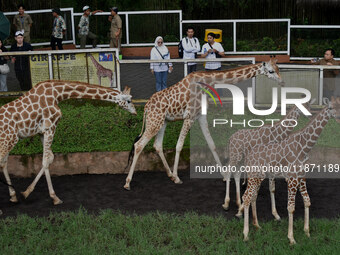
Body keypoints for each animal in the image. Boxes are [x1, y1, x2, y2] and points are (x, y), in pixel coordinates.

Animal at [1, 81, 137, 205]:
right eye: (129, 101)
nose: (135, 112)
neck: (57, 94)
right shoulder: (50, 128)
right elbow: (45, 161)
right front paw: (55, 197)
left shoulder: (42, 132)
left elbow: (49, 158)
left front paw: (26, 192)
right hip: (9, 139)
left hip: (8, 140)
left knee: (3, 163)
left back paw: (13, 196)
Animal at [123, 57, 282, 189]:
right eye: (271, 70)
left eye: (278, 68)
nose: (282, 81)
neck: (208, 82)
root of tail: (146, 107)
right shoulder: (189, 116)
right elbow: (179, 146)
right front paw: (178, 177)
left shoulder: (201, 115)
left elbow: (212, 144)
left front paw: (224, 176)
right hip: (154, 122)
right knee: (139, 145)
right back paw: (128, 182)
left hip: (162, 122)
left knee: (157, 145)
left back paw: (169, 175)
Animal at [239, 96, 340, 244]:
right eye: (330, 108)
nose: (338, 118)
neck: (304, 147)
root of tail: (248, 156)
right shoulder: (292, 177)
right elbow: (291, 207)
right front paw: (291, 238)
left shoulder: (302, 175)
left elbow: (307, 200)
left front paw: (307, 232)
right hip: (253, 175)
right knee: (246, 196)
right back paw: (246, 234)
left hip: (258, 176)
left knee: (252, 196)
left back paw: (257, 225)